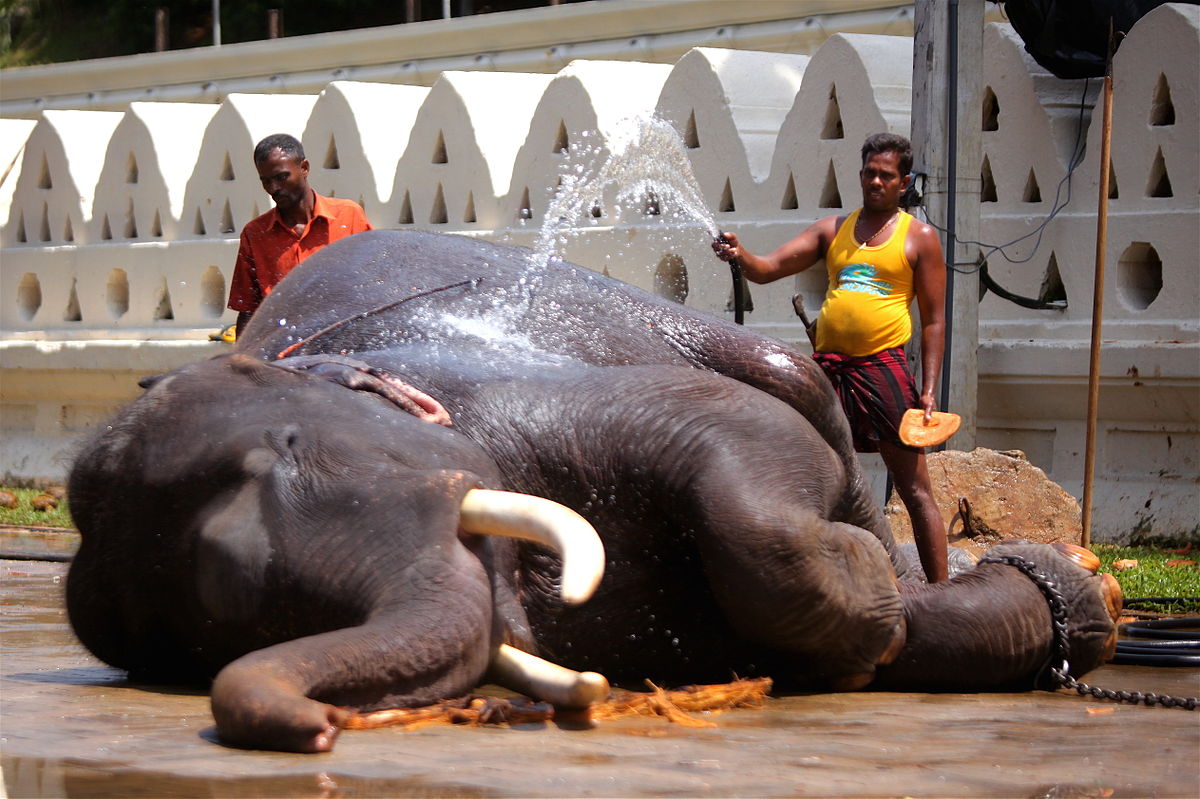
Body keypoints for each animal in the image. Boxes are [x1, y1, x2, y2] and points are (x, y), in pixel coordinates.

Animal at [65, 226, 1118, 748]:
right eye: (226, 612)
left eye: (286, 444)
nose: (324, 728)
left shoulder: (505, 391)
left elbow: (738, 442)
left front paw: (884, 606)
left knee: (784, 378)